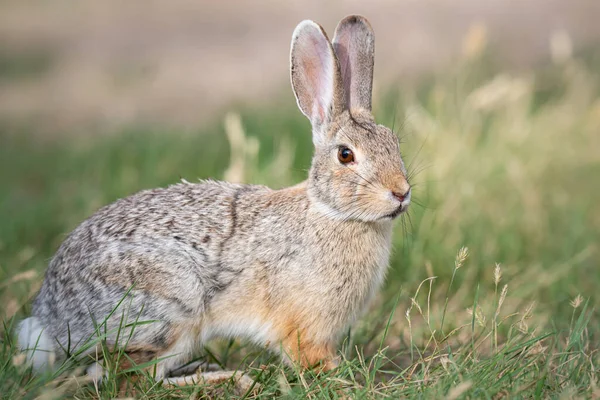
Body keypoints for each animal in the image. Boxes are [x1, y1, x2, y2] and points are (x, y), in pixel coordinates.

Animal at [18, 14, 412, 384]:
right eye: (346, 155)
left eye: (394, 143)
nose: (401, 192)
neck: (333, 214)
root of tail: (52, 320)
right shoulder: (303, 324)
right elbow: (308, 355)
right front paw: (342, 377)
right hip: (172, 306)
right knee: (131, 377)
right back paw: (229, 378)